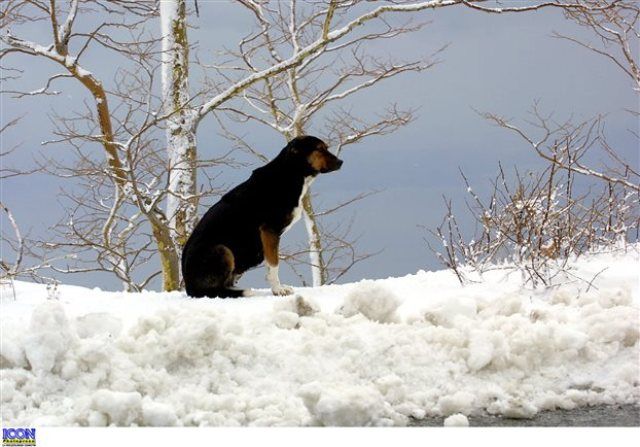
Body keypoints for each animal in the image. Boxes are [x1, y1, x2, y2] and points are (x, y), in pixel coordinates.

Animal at [180, 135, 342, 300]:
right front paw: (278, 290)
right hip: (222, 250)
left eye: (326, 147)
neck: (289, 174)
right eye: (320, 149)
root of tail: (189, 288)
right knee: (214, 291)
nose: (341, 162)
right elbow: (273, 264)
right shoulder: (269, 231)